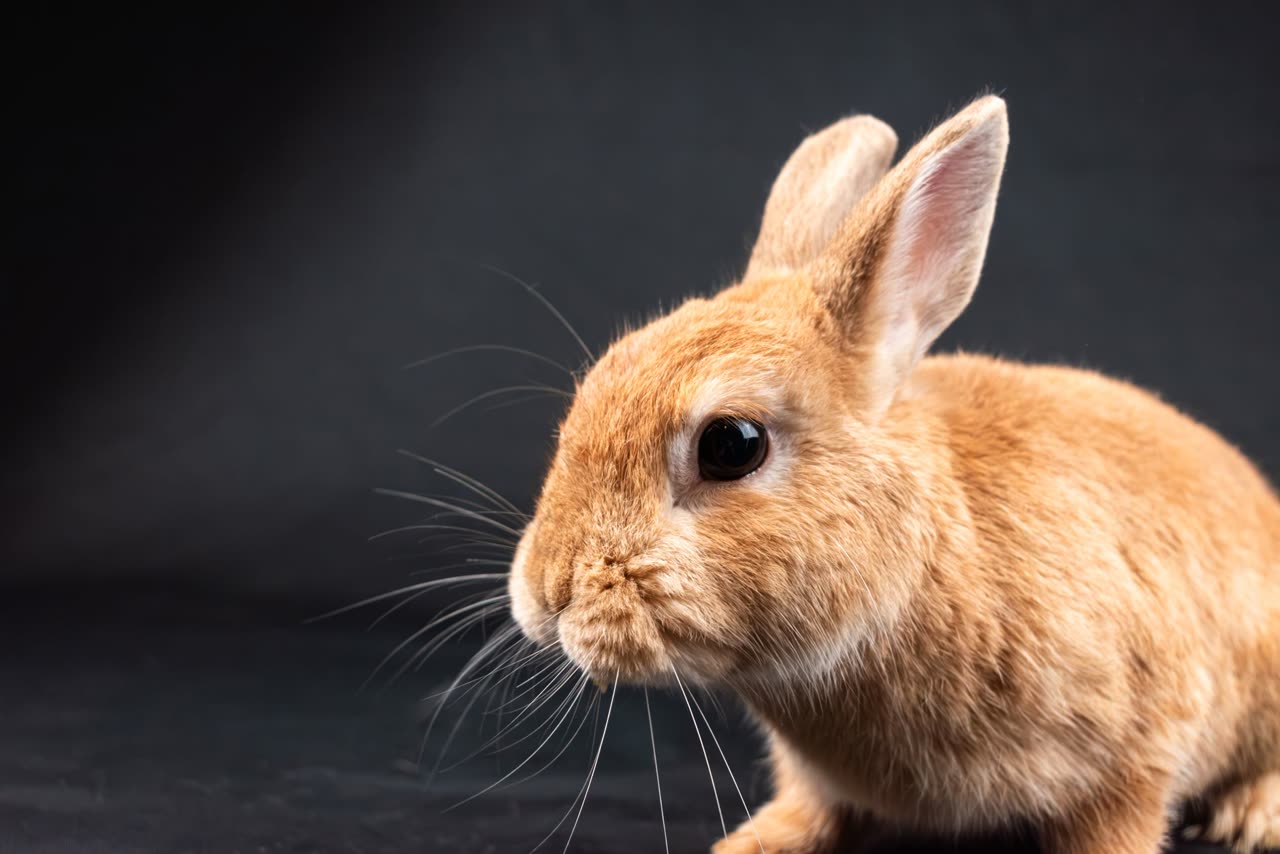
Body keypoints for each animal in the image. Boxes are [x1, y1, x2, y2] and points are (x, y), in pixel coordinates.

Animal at [505, 95, 1280, 853]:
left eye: (731, 445)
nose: (548, 590)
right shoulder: (816, 777)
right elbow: (811, 808)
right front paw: (752, 844)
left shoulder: (1135, 746)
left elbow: (1117, 823)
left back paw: (1253, 817)